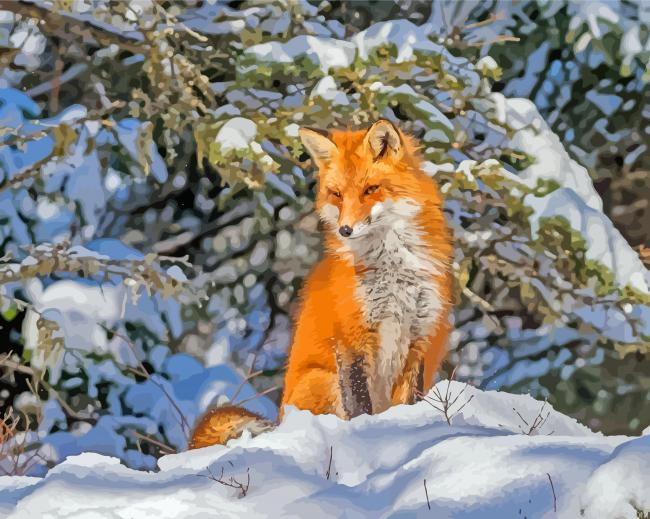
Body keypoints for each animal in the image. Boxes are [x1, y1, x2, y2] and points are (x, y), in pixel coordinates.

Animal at [189, 120, 453, 449]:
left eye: (371, 189)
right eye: (337, 194)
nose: (345, 230)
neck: (392, 268)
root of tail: (281, 419)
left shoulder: (420, 335)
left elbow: (410, 401)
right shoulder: (351, 337)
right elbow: (359, 405)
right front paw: (367, 437)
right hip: (321, 379)